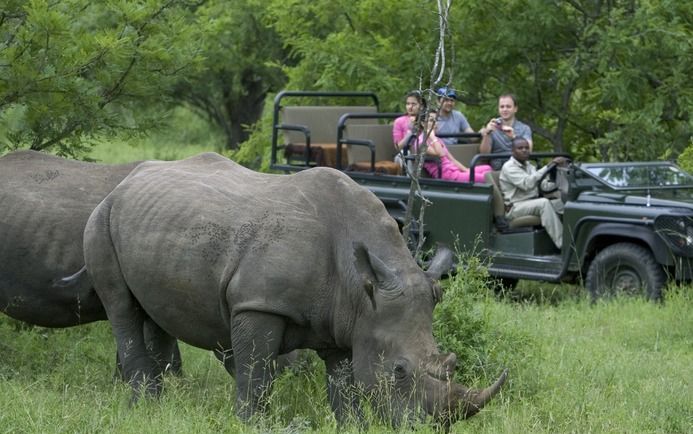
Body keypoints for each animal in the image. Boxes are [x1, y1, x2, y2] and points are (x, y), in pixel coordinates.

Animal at [84, 153, 506, 428]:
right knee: (121, 307)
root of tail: (127, 180)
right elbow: (256, 373)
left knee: (155, 313)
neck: (361, 290)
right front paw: (251, 424)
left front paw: (353, 427)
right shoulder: (259, 304)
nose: (429, 428)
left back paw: (160, 402)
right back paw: (143, 403)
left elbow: (344, 385)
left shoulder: (349, 320)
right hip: (101, 217)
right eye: (399, 371)